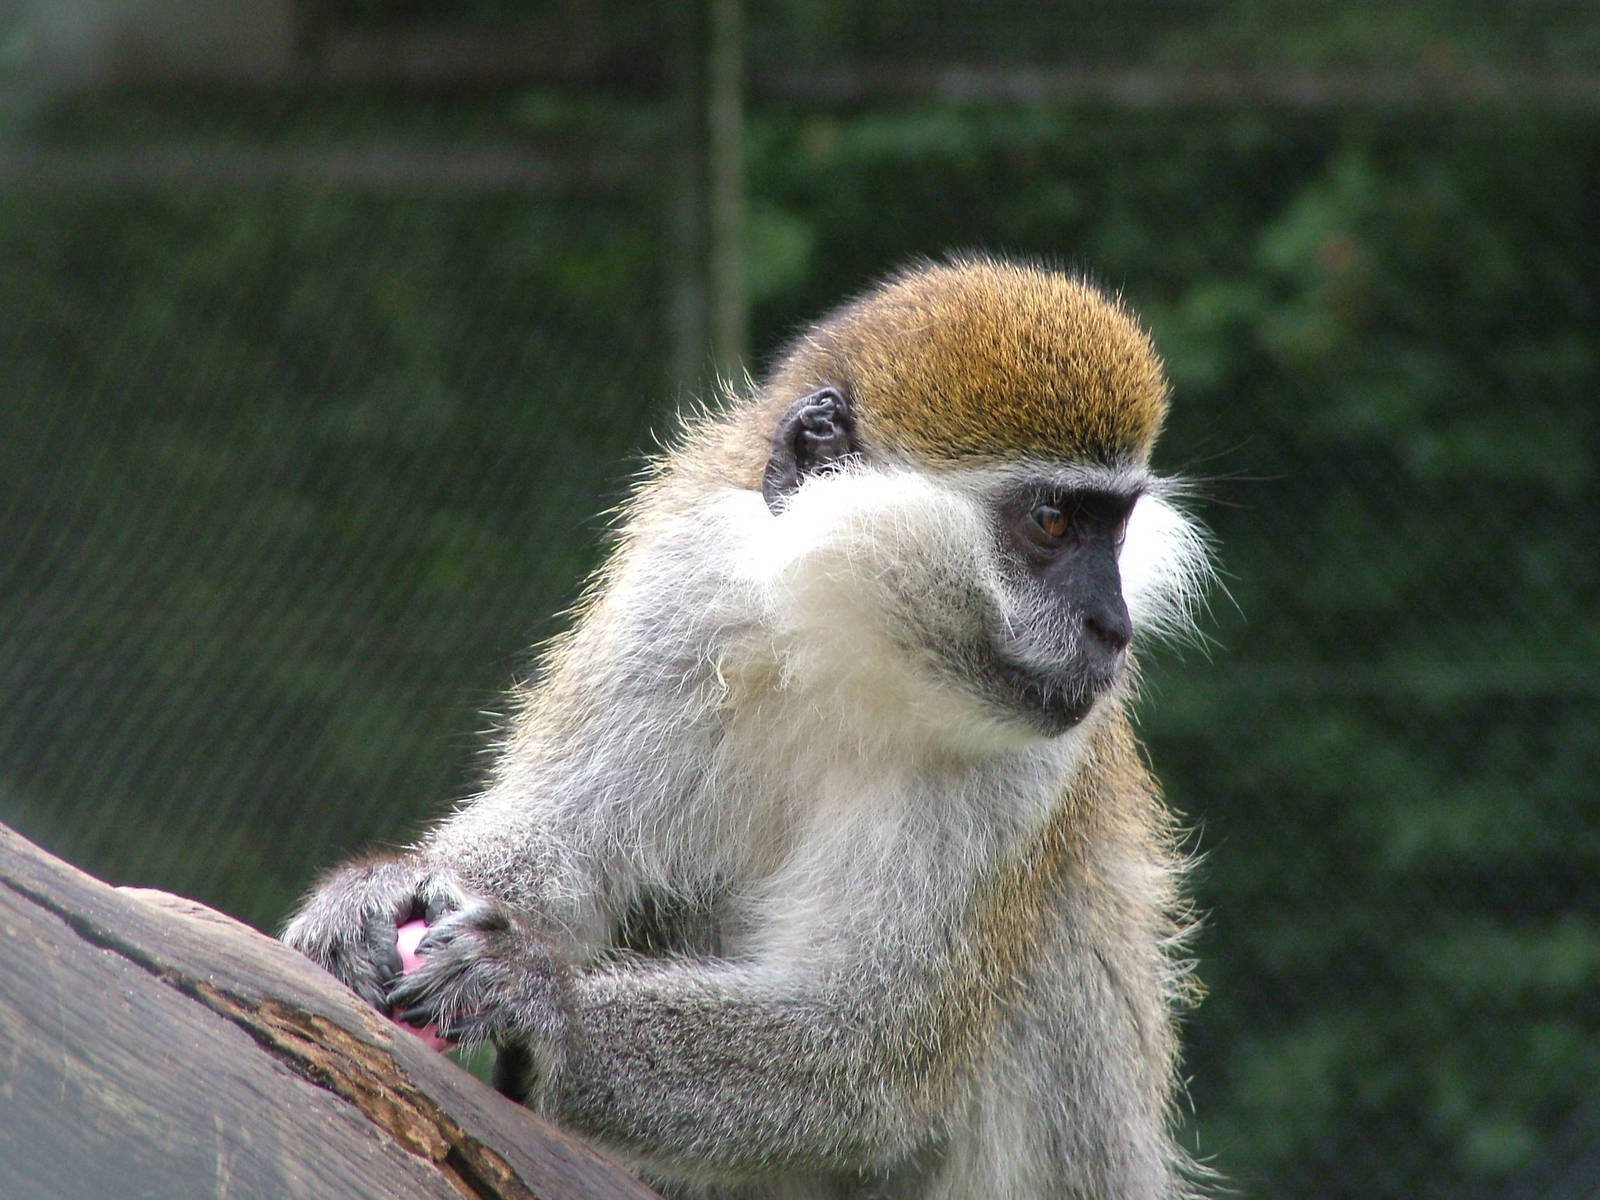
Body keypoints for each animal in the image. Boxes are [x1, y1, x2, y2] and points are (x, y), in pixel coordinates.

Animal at [282, 254, 1212, 1199]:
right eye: (1053, 521)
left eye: (1115, 530)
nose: (1112, 627)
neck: (850, 642)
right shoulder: (682, 595)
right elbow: (557, 846)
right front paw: (373, 893)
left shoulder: (1029, 761)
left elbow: (868, 1045)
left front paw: (546, 1004)